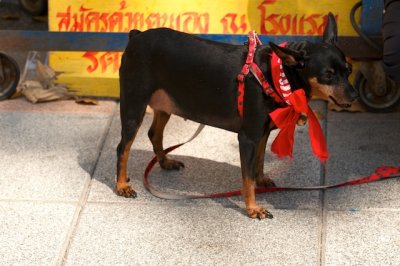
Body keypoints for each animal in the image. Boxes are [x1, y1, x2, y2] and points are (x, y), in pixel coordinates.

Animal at [117, 13, 358, 218]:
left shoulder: (262, 133)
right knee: (123, 147)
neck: (277, 73)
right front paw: (253, 208)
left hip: (164, 105)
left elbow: (259, 163)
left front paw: (261, 180)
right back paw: (121, 186)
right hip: (134, 106)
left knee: (154, 134)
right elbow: (247, 177)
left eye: (348, 70)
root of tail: (136, 36)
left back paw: (165, 162)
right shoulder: (248, 137)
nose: (355, 95)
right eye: (328, 74)